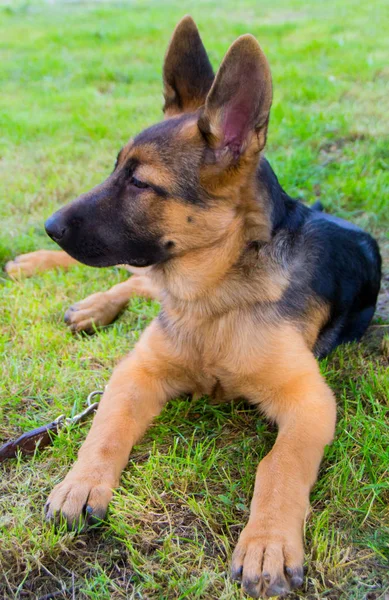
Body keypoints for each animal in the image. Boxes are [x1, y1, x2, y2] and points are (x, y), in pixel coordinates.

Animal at [34, 16, 378, 596]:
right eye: (115, 169)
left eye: (139, 181)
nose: (49, 227)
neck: (212, 302)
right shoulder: (138, 370)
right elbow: (105, 430)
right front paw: (80, 484)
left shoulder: (309, 401)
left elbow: (278, 465)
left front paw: (267, 544)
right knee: (137, 281)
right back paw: (65, 290)